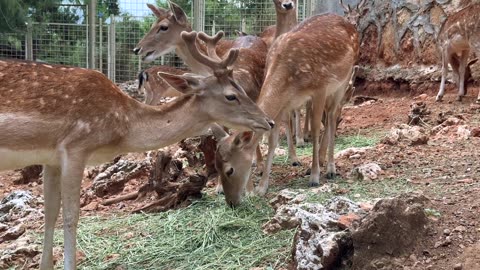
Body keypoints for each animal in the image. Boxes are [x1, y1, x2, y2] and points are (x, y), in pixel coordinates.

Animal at [0, 29, 274, 268]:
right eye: (231, 95)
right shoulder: (75, 147)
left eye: (241, 88)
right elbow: (70, 217)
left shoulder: (51, 158)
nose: (268, 121)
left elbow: (49, 213)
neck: (122, 127)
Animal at [212, 13, 358, 207]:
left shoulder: (320, 88)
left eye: (230, 169)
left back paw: (330, 168)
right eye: (216, 167)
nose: (231, 202)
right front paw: (262, 188)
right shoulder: (286, 103)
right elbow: (273, 140)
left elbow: (315, 128)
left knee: (332, 117)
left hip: (343, 80)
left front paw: (314, 176)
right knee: (330, 118)